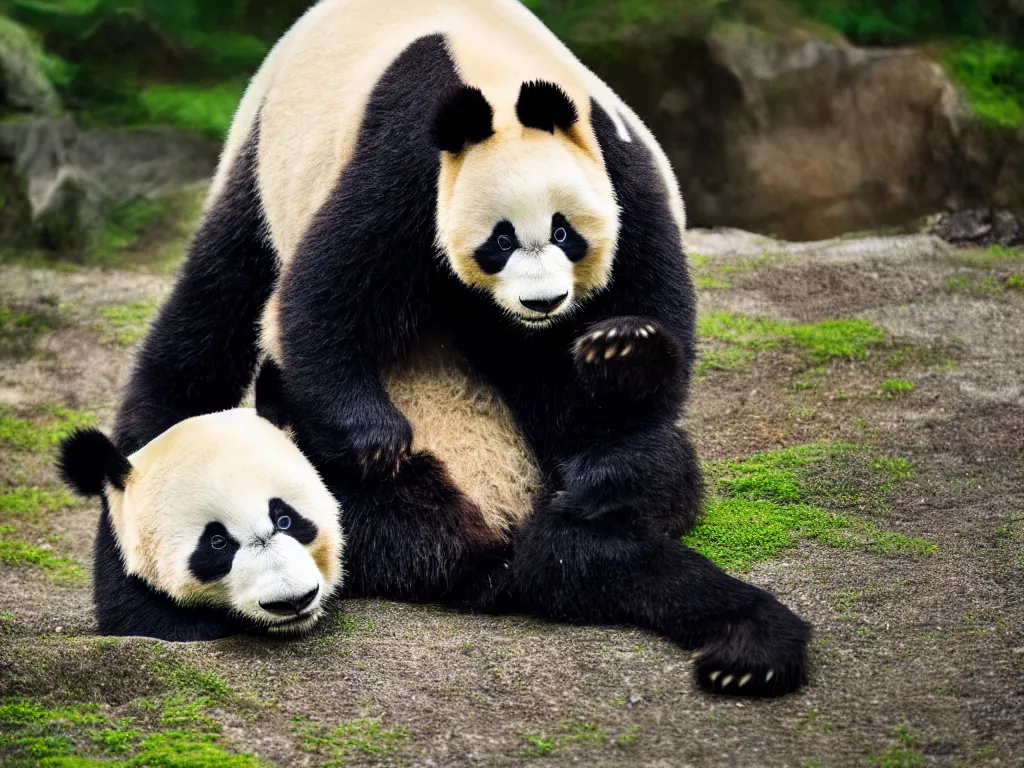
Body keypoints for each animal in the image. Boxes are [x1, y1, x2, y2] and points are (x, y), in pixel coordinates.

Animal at [105, 0, 806, 696]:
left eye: (564, 232)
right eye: (500, 240)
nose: (544, 303)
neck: (502, 80)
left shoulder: (618, 168)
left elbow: (649, 331)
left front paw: (620, 362)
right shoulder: (407, 158)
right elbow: (325, 297)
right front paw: (377, 439)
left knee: (652, 472)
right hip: (262, 154)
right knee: (219, 307)